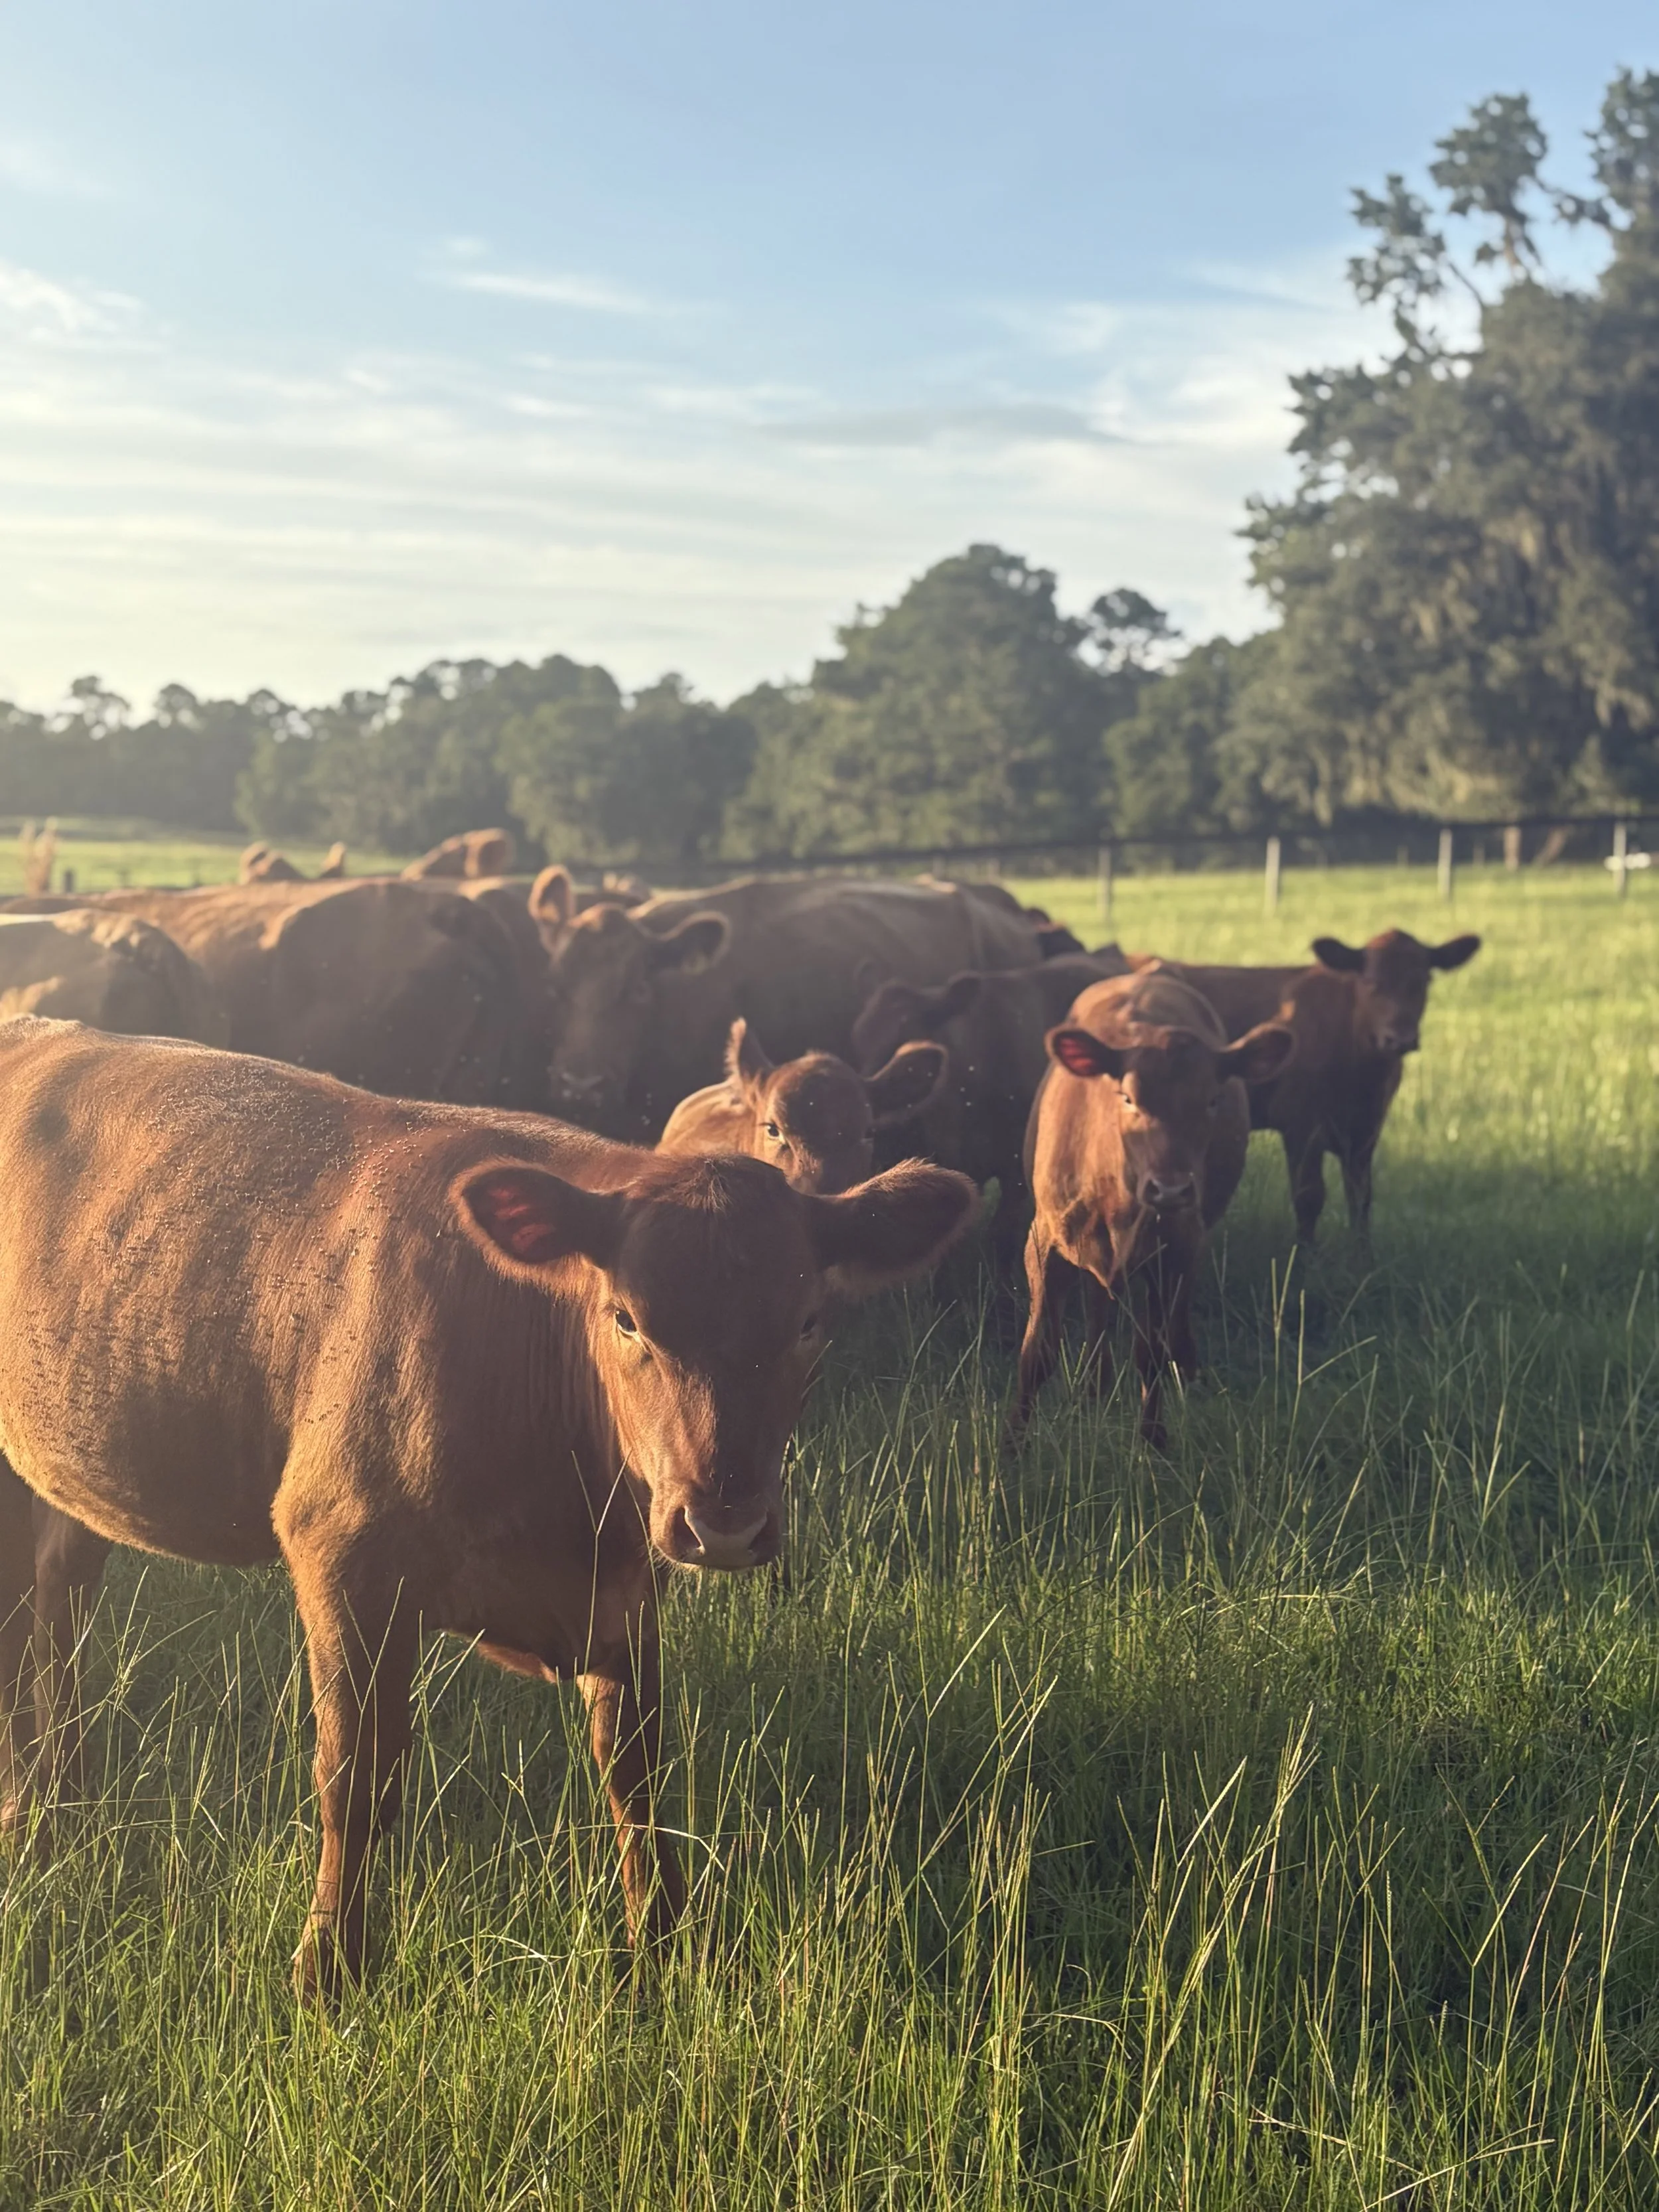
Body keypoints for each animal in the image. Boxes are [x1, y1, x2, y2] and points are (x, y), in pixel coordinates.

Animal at [1013, 971, 1294, 1445]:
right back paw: (1093, 1384)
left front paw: (1153, 1443)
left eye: (1213, 1100)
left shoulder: (1178, 1251)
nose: (1171, 1189)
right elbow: (1036, 1355)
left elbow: (1151, 1354)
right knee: (1098, 1305)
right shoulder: (1043, 1242)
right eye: (1127, 1098)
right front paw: (1010, 1450)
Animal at [1130, 929, 1481, 1244]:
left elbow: (1361, 1200)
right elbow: (1309, 1198)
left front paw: (1363, 1259)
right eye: (1370, 982)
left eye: (1424, 980)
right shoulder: (1301, 1126)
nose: (1400, 1038)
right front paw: (1304, 1261)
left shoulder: (1365, 1133)